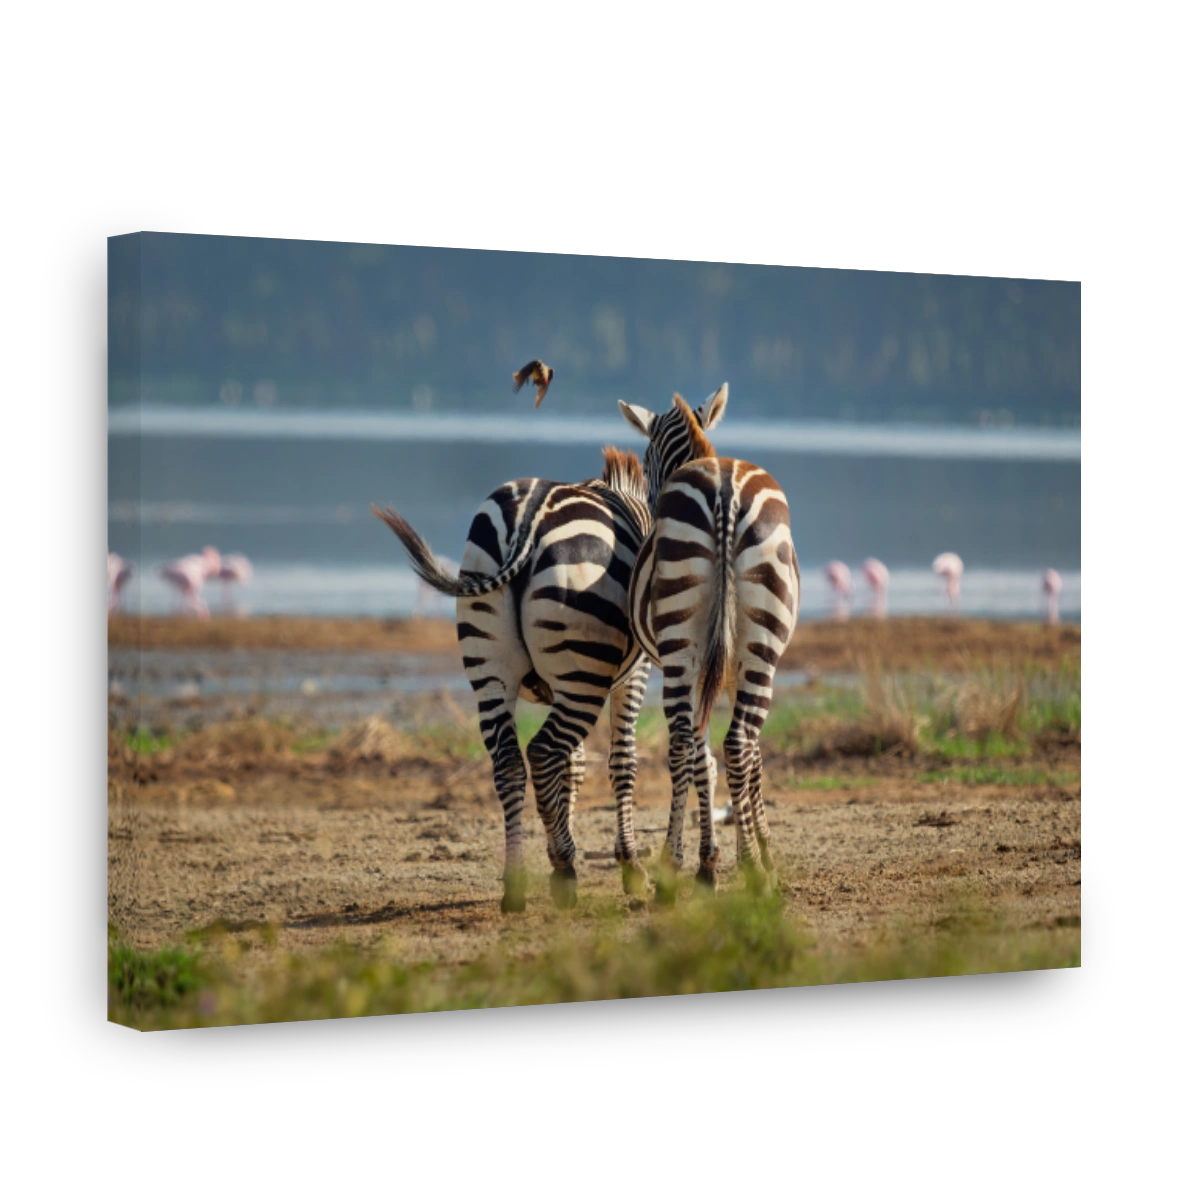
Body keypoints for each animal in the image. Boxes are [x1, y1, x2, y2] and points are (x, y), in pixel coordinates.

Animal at [373, 442, 700, 914]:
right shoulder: (632, 675)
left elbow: (574, 767)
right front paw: (628, 867)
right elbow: (620, 761)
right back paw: (564, 870)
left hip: (495, 669)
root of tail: (529, 514)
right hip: (584, 674)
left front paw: (556, 843)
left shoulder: (557, 689)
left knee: (510, 760)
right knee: (543, 752)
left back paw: (517, 884)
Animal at [618, 383, 800, 895]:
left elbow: (721, 757)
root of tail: (724, 489)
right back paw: (727, 868)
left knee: (691, 741)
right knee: (725, 742)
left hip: (696, 650)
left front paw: (728, 854)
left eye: (646, 459)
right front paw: (751, 853)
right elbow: (743, 758)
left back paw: (679, 864)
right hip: (745, 650)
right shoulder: (730, 671)